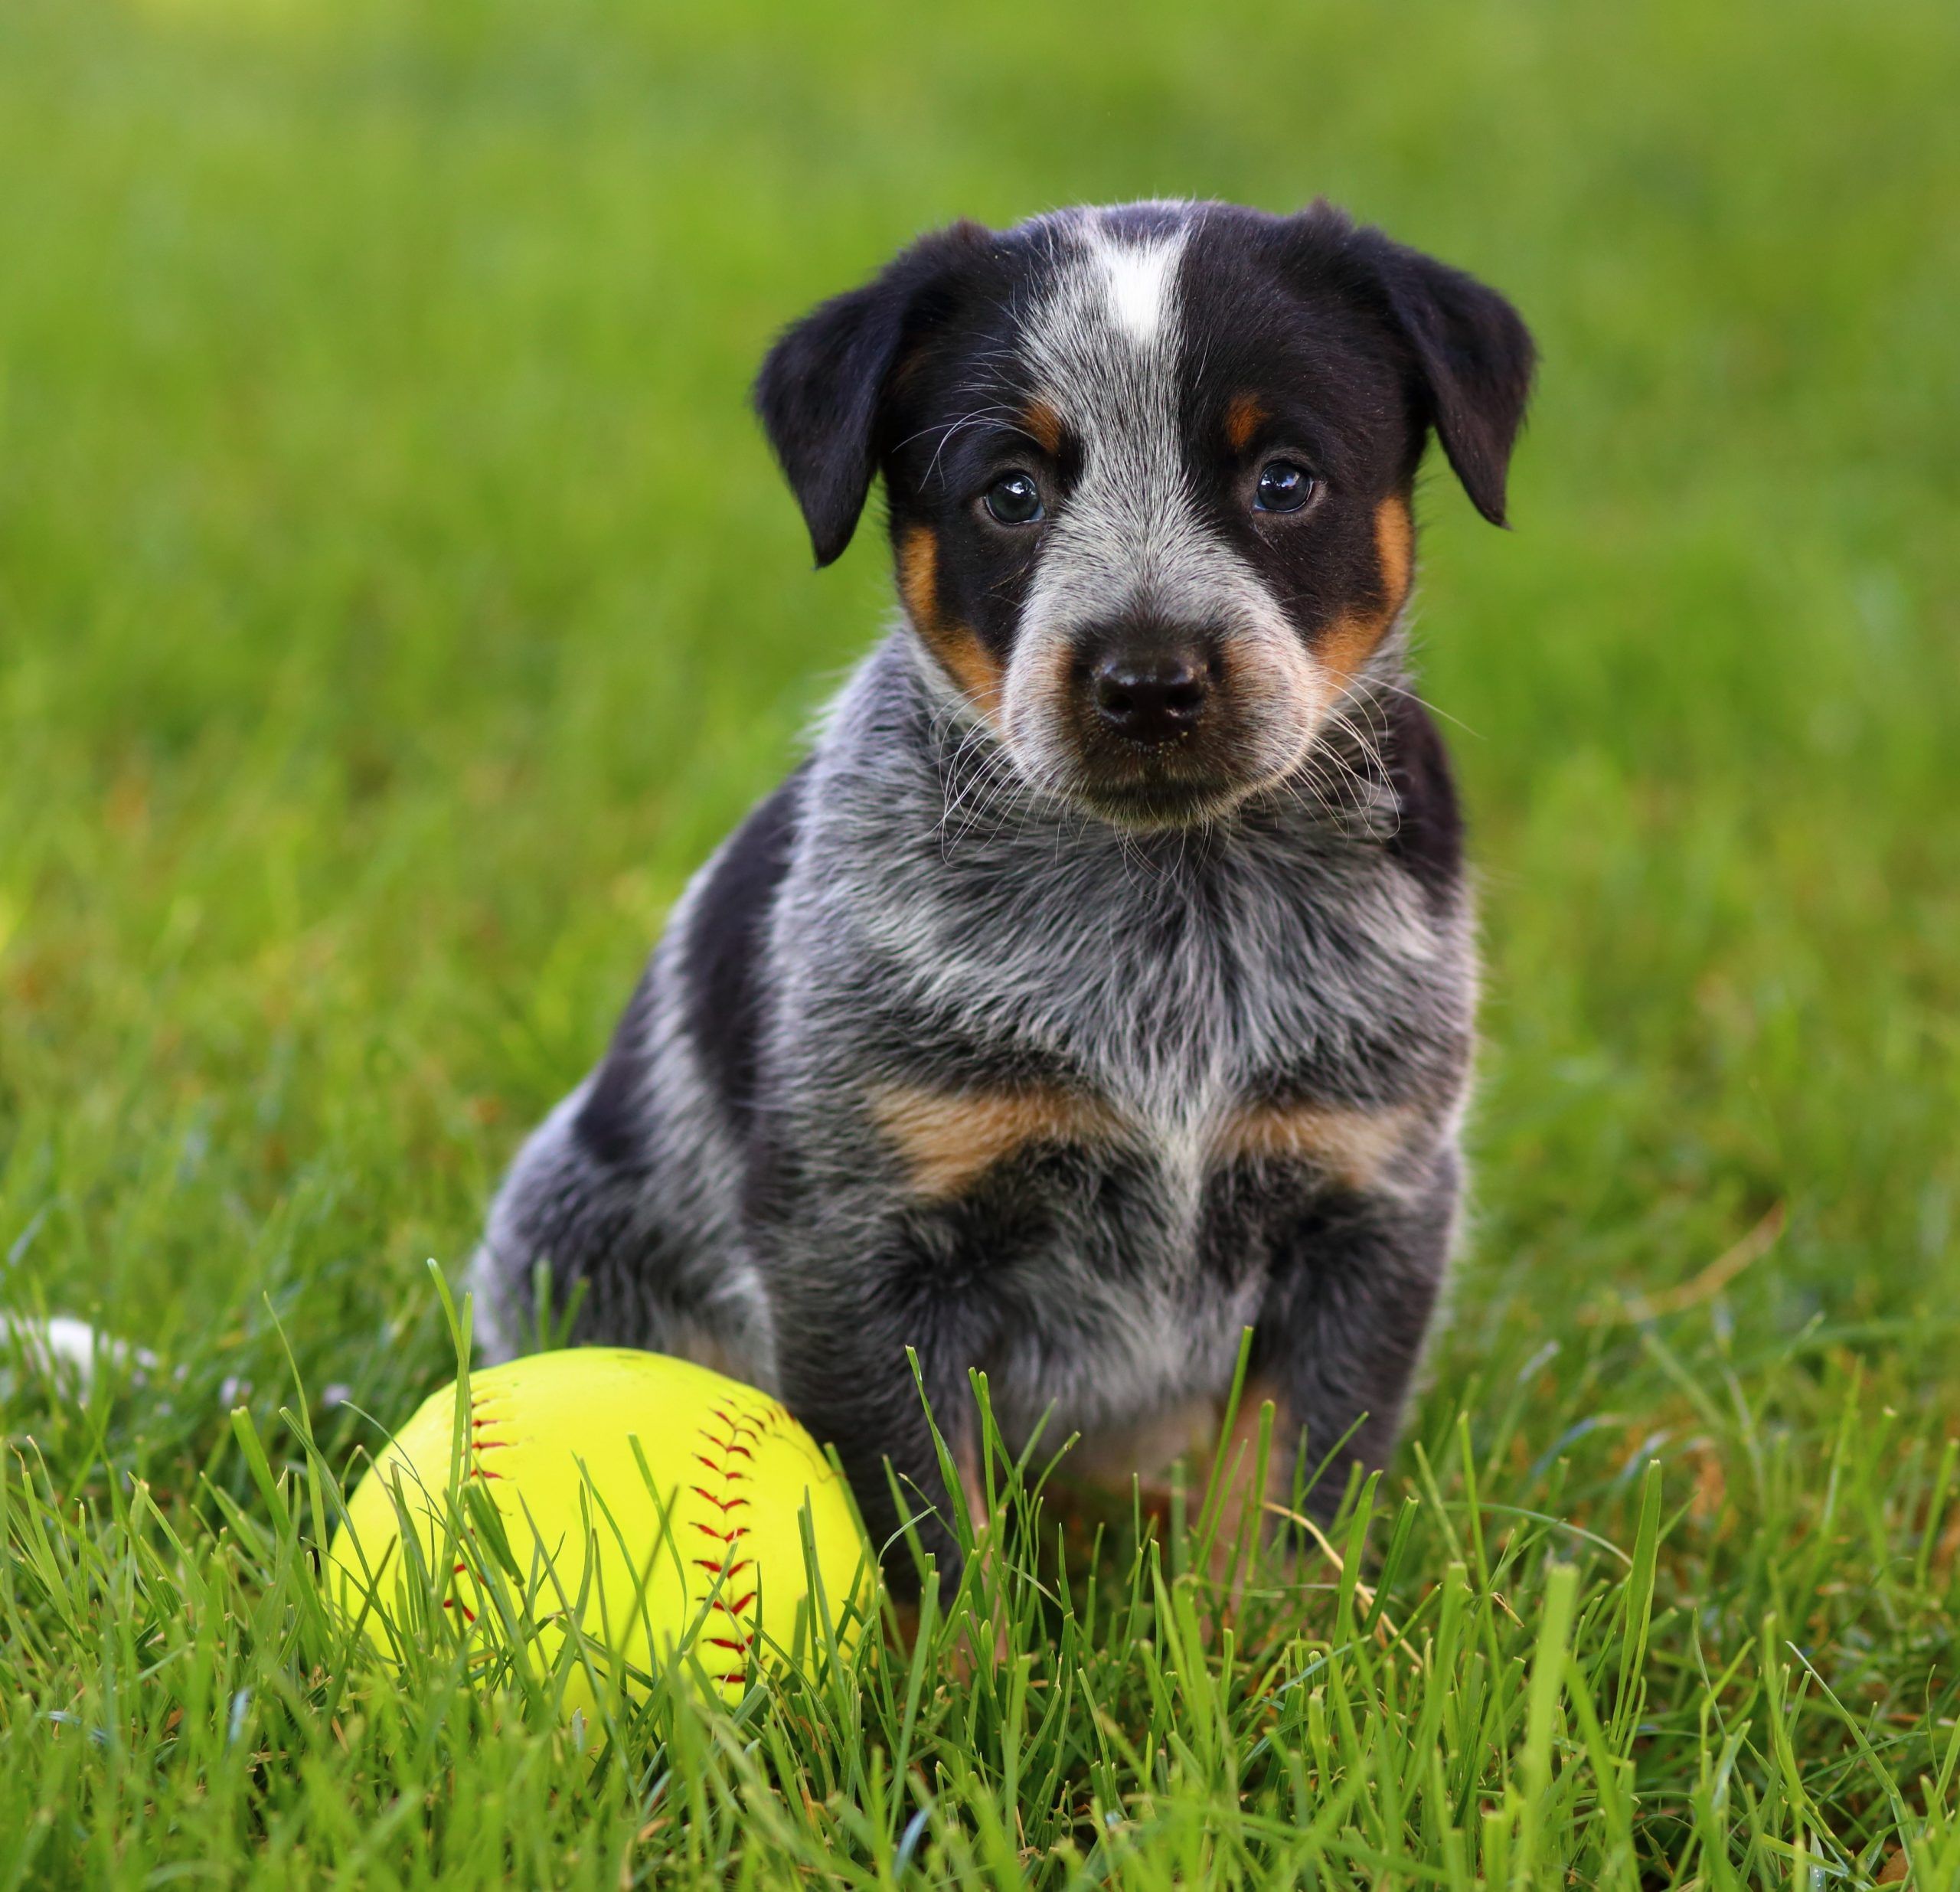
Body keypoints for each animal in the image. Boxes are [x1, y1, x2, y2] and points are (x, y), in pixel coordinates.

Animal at [470, 198, 1528, 1583]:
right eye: (1011, 493)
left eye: (1285, 479)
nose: (1149, 680)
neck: (1171, 908)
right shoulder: (859, 1232)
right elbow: (929, 1531)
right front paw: (959, 1644)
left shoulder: (1369, 1200)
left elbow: (1285, 1502)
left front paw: (1260, 1635)